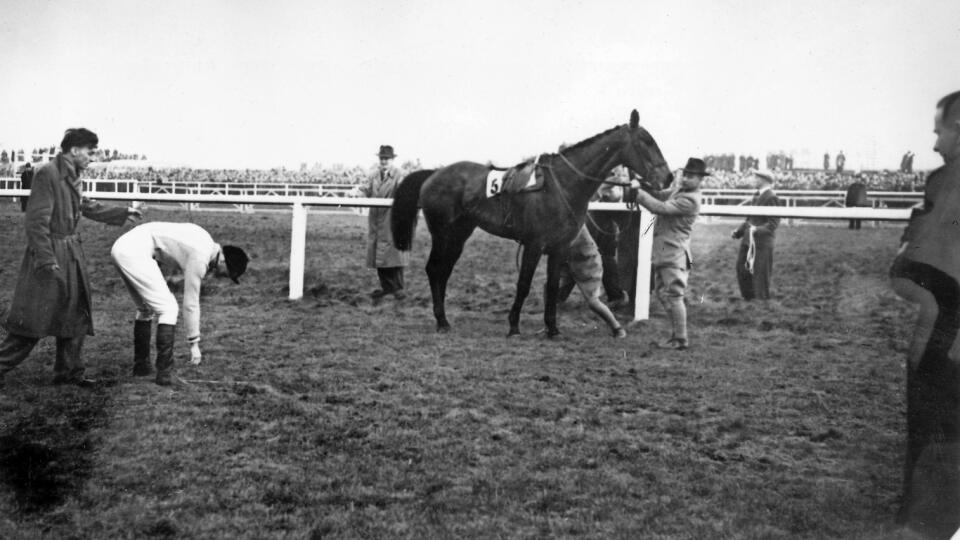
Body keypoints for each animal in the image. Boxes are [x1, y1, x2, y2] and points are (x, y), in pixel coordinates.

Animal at [388, 109, 668, 338]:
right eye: (647, 142)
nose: (667, 178)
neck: (562, 185)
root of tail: (433, 174)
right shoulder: (534, 245)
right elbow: (523, 285)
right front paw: (513, 326)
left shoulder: (559, 248)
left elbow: (552, 287)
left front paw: (553, 329)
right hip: (442, 234)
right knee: (434, 269)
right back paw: (441, 321)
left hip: (459, 235)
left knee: (443, 271)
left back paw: (444, 319)